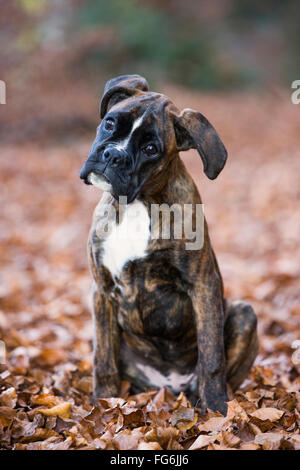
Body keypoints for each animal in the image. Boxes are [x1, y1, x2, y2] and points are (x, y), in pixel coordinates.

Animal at [79, 74, 258, 414]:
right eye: (110, 124)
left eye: (151, 148)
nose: (113, 155)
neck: (138, 203)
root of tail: (170, 388)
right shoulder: (102, 291)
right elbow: (103, 358)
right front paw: (103, 403)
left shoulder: (202, 285)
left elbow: (212, 355)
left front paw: (217, 408)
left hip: (244, 314)